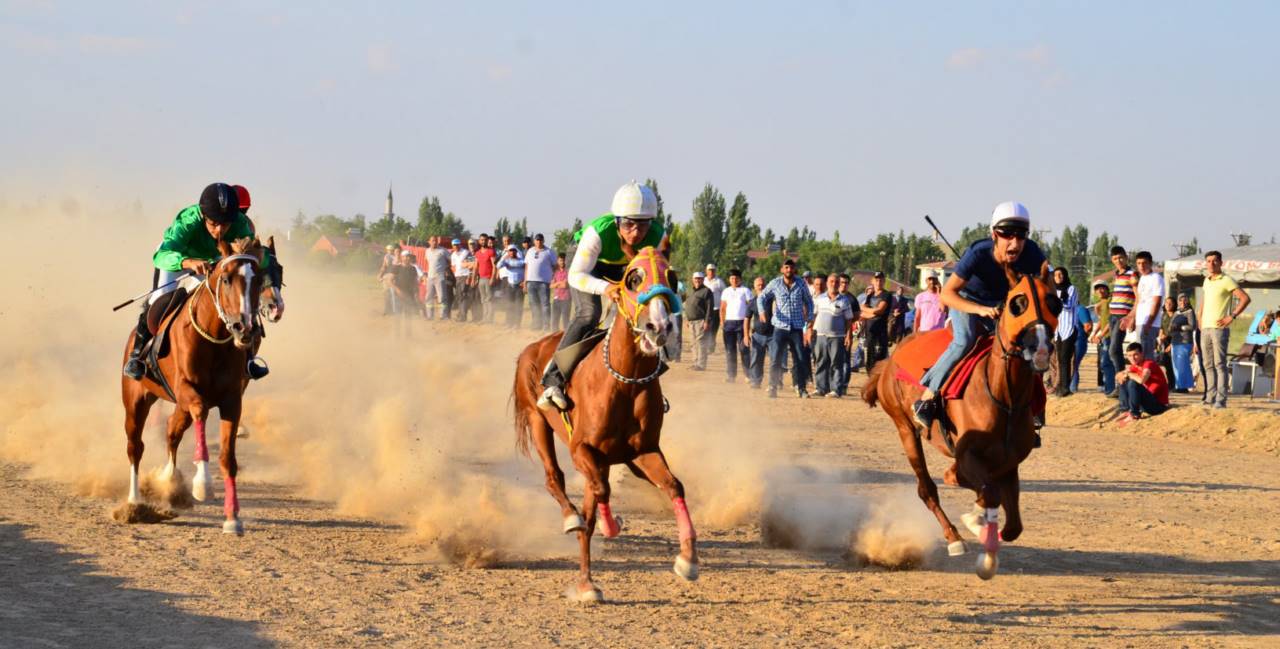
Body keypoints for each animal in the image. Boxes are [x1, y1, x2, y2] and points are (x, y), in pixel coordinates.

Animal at [120, 236, 268, 535]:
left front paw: (232, 518)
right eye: (226, 278)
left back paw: (169, 481)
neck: (214, 338)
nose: (245, 328)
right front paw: (203, 485)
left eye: (258, 280)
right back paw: (134, 503)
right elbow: (199, 412)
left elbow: (228, 459)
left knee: (171, 431)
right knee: (135, 446)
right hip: (135, 400)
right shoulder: (188, 391)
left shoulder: (231, 400)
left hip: (177, 406)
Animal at [512, 248, 701, 604]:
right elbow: (599, 494)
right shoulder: (583, 450)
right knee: (554, 479)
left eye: (672, 277)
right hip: (537, 420)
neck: (624, 381)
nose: (659, 326)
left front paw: (687, 559)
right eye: (633, 278)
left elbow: (674, 486)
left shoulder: (642, 452)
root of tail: (531, 349)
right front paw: (600, 545)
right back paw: (572, 519)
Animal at [860, 268, 1059, 578]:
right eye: (1018, 303)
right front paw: (976, 526)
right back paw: (954, 537)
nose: (1039, 347)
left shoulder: (1008, 462)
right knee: (926, 488)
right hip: (905, 427)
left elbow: (1011, 525)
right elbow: (982, 490)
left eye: (1054, 302)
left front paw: (985, 539)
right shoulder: (968, 455)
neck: (1004, 396)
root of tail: (890, 361)